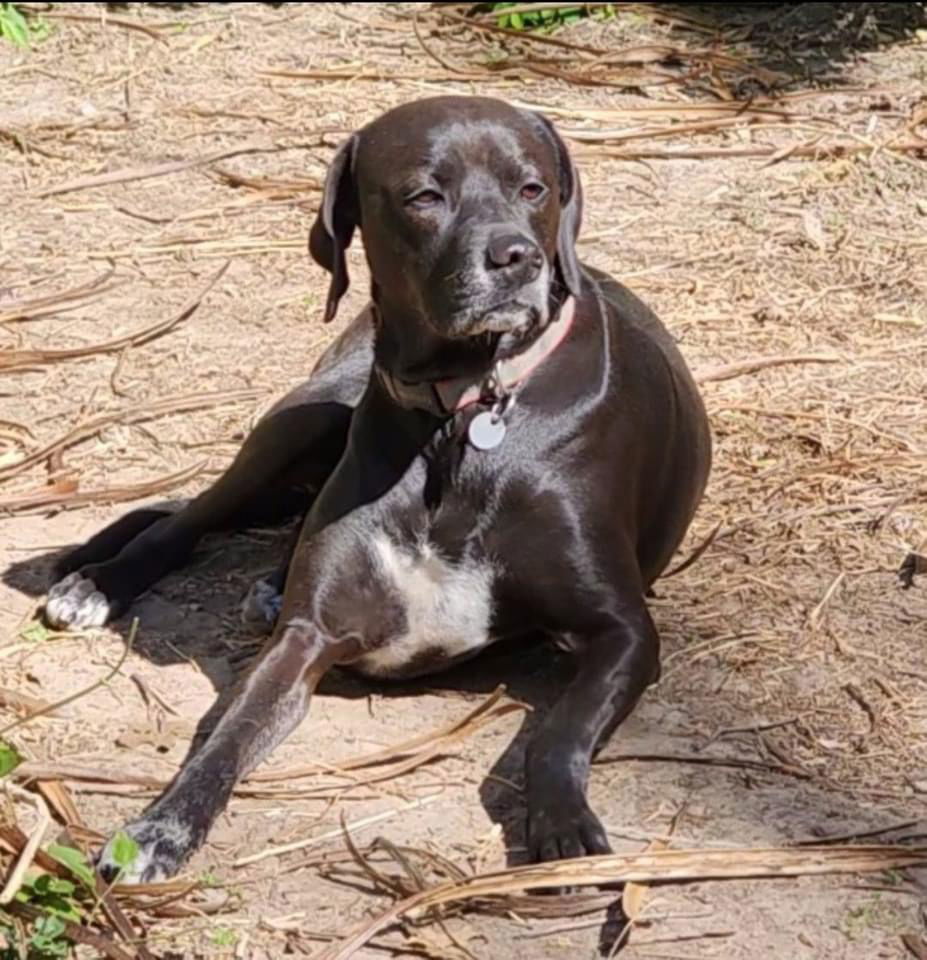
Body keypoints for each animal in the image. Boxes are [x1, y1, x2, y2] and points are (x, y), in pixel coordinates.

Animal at [41, 95, 712, 876]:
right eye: (424, 196)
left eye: (532, 188)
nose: (516, 257)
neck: (462, 413)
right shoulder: (308, 636)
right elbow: (229, 737)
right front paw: (162, 825)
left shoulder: (623, 631)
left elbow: (559, 733)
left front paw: (563, 822)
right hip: (302, 421)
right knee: (186, 517)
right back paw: (98, 583)